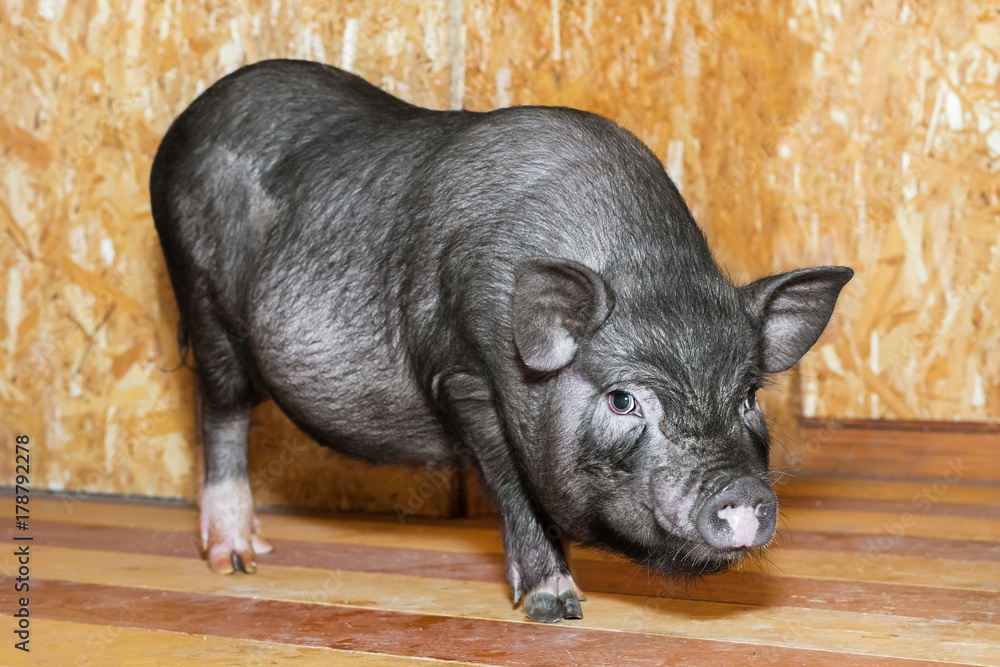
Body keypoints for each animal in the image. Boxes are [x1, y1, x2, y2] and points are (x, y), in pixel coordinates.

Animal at [150, 59, 852, 623]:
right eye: (623, 400)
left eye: (748, 398)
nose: (743, 493)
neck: (643, 267)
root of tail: (185, 121)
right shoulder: (462, 373)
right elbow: (513, 484)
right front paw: (556, 606)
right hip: (202, 301)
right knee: (220, 408)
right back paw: (239, 560)